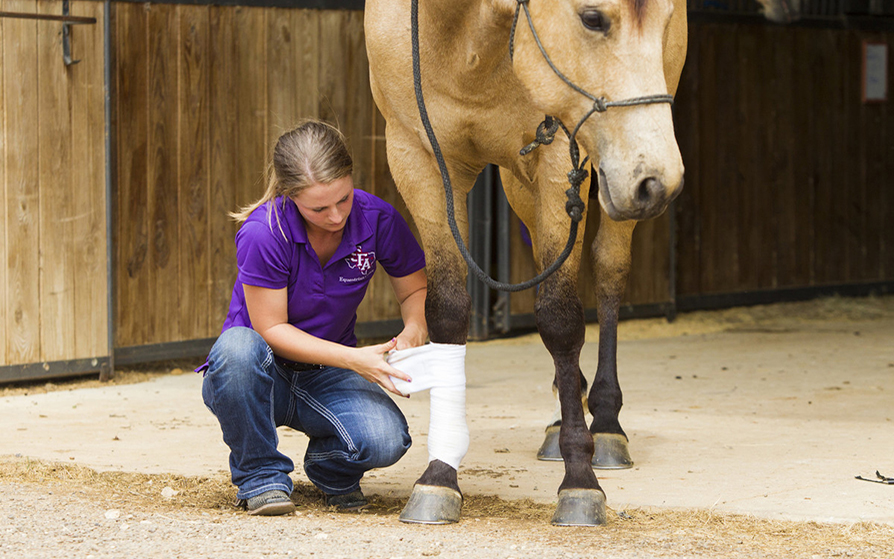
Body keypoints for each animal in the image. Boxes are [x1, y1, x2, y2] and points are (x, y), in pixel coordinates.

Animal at [368, 0, 688, 528]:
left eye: (663, 19)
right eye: (592, 17)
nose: (659, 182)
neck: (459, 34)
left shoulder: (560, 154)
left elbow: (560, 320)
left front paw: (580, 484)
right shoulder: (417, 157)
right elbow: (447, 313)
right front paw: (438, 477)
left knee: (608, 272)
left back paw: (606, 424)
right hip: (528, 181)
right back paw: (561, 416)